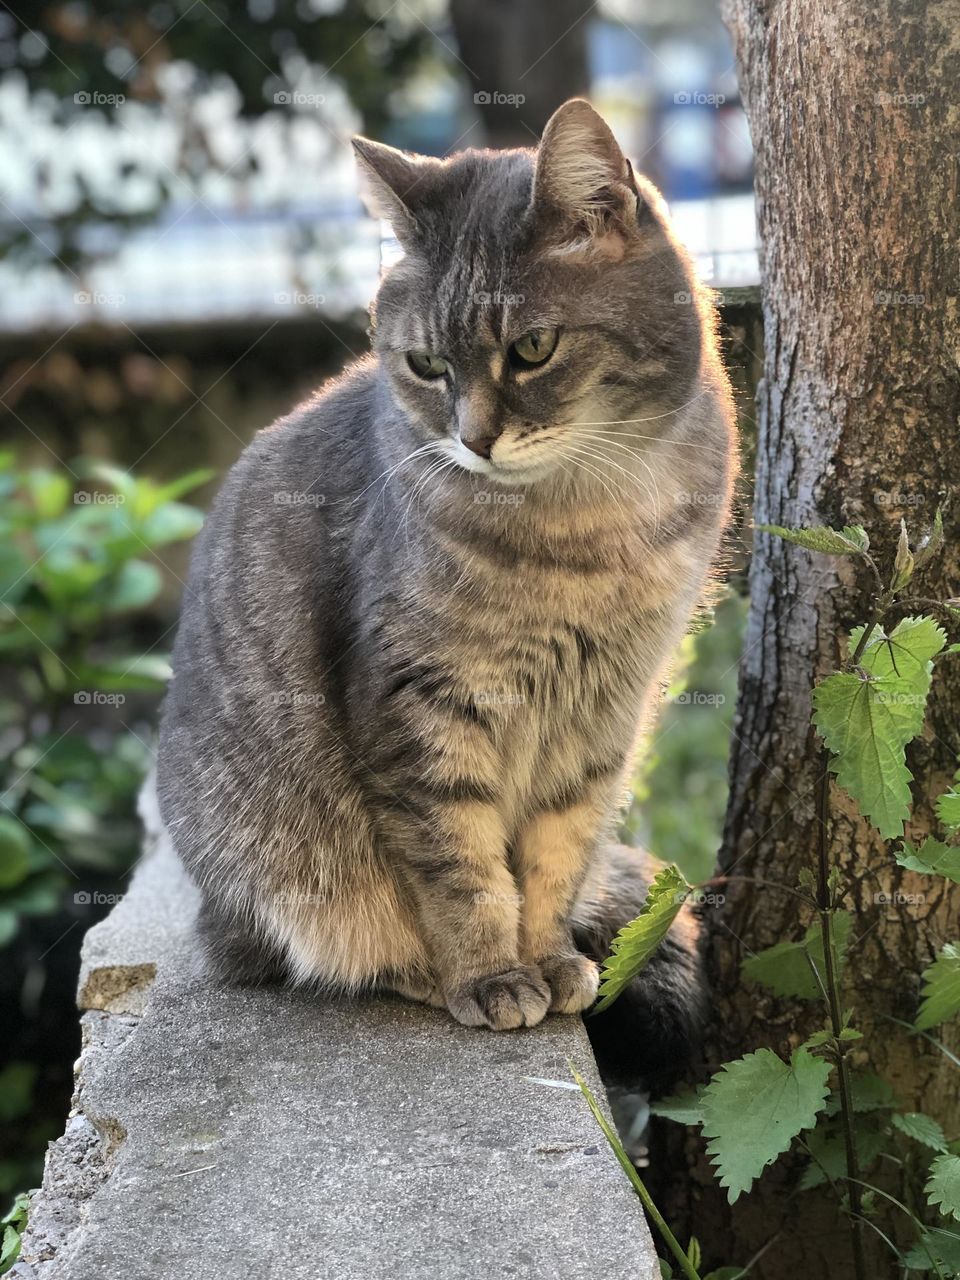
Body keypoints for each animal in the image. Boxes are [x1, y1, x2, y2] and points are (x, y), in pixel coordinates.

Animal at [158, 99, 742, 1054]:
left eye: (534, 348)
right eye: (427, 365)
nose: (474, 439)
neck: (588, 526)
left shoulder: (606, 711)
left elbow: (558, 851)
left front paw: (547, 956)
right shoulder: (419, 701)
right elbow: (460, 866)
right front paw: (490, 975)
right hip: (276, 863)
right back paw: (422, 974)